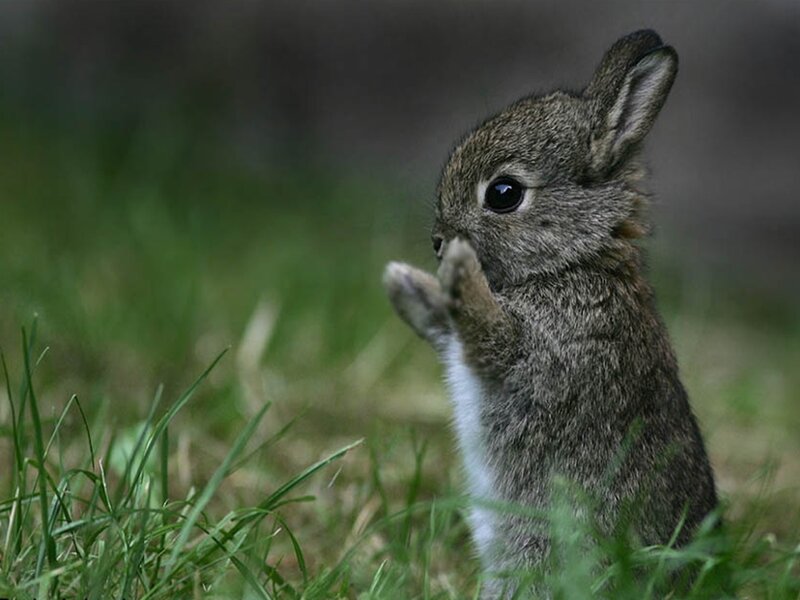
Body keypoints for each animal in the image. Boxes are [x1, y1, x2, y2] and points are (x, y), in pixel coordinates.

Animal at [383, 29, 717, 595]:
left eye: (503, 193)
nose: (438, 242)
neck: (573, 262)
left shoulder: (542, 355)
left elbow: (487, 334)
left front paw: (459, 270)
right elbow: (448, 327)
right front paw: (404, 281)